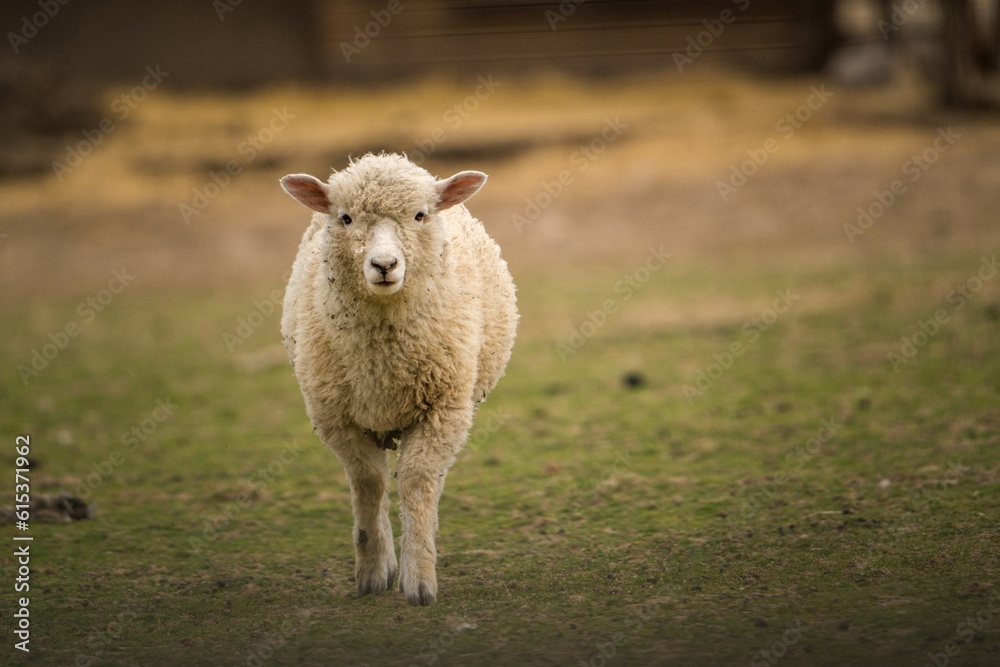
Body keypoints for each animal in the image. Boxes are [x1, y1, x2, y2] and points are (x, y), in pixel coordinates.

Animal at [278, 153, 517, 606]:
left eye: (420, 215)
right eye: (346, 218)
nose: (384, 265)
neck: (383, 358)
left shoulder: (443, 410)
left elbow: (418, 481)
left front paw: (419, 579)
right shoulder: (337, 417)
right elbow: (368, 484)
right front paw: (373, 572)